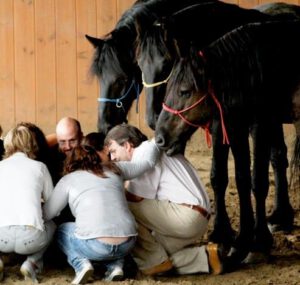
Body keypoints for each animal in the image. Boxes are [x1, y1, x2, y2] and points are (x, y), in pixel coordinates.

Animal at [156, 21, 300, 268]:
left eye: (185, 91)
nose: (160, 138)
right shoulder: (236, 125)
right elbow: (242, 180)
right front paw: (241, 243)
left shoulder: (261, 123)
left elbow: (258, 181)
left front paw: (259, 243)